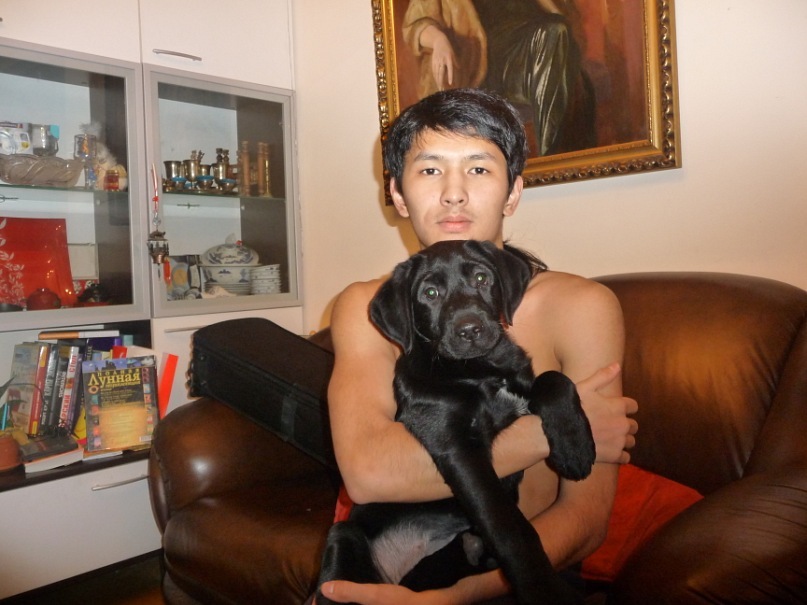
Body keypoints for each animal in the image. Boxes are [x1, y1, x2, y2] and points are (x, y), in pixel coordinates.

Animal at [317, 240, 596, 605]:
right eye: (430, 293)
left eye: (481, 277)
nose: (470, 330)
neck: (479, 368)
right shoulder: (458, 448)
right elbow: (505, 521)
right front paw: (540, 584)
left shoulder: (522, 389)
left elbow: (554, 378)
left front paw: (575, 446)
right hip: (344, 536)